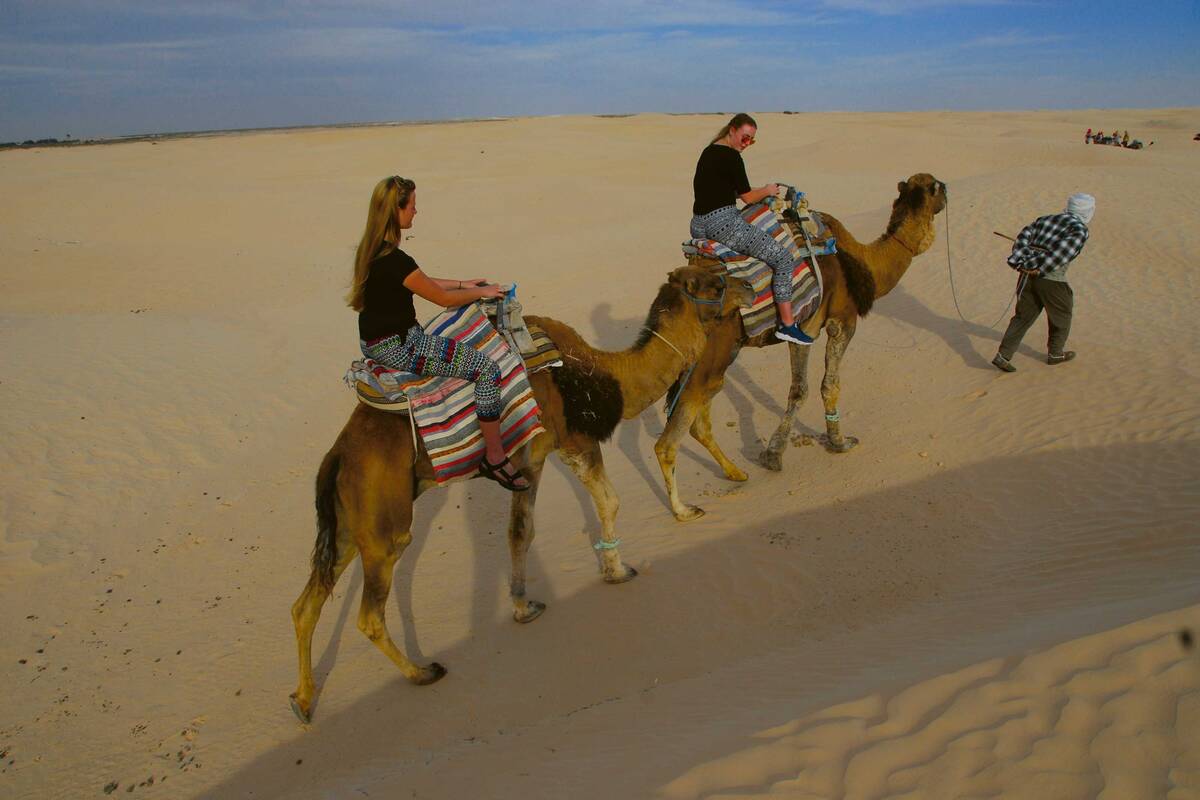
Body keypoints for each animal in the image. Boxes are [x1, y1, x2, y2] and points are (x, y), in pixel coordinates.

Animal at [288, 266, 748, 724]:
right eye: (715, 282)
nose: (745, 285)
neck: (602, 373)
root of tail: (336, 457)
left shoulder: (531, 459)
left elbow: (520, 532)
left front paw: (524, 606)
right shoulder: (575, 442)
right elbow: (609, 502)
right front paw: (621, 568)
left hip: (349, 523)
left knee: (306, 603)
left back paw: (304, 701)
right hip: (384, 523)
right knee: (368, 613)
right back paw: (422, 672)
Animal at [657, 172, 945, 522]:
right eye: (938, 187)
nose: (947, 192)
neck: (862, 263)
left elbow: (803, 388)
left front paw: (774, 453)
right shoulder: (833, 321)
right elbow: (819, 387)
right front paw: (833, 443)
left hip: (716, 356)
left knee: (700, 412)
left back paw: (736, 473)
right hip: (712, 353)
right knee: (673, 435)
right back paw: (683, 510)